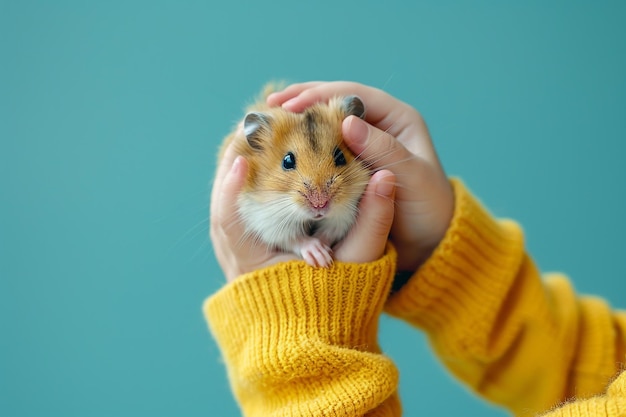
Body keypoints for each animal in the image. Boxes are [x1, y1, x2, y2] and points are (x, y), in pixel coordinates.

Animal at [218, 86, 370, 264]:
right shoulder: (266, 219)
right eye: (287, 161)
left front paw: (324, 257)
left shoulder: (345, 213)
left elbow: (328, 232)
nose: (319, 205)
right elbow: (295, 239)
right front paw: (319, 256)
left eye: (340, 157)